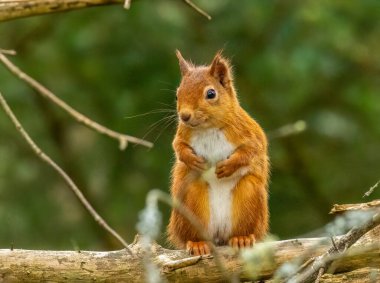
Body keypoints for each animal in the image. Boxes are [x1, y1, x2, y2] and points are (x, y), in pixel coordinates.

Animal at [168, 51, 268, 258]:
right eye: (177, 94)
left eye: (211, 94)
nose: (184, 116)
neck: (208, 127)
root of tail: (219, 235)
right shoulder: (182, 134)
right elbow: (178, 147)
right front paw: (192, 160)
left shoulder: (250, 133)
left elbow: (253, 150)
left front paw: (228, 166)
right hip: (190, 201)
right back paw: (198, 243)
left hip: (250, 197)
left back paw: (242, 238)